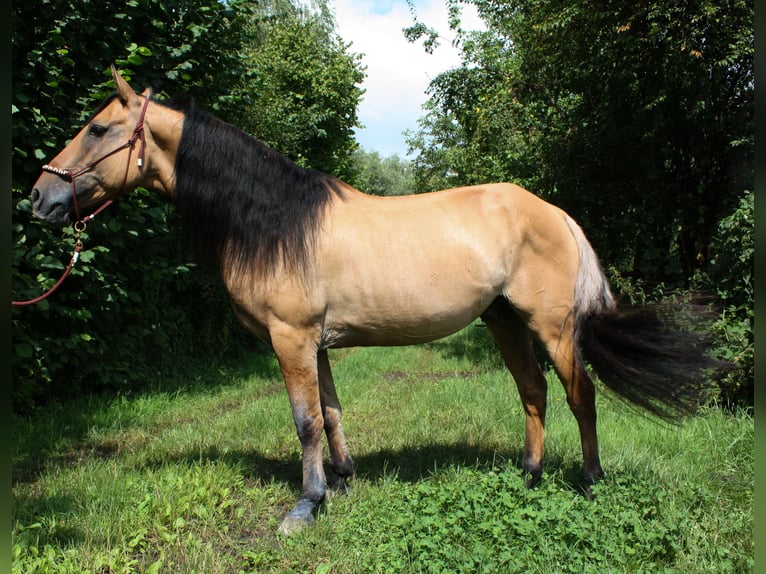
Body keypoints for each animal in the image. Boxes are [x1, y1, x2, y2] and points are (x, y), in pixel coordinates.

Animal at [25, 66, 720, 536]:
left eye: (97, 128)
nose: (38, 197)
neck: (274, 222)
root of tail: (555, 213)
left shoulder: (291, 338)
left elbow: (305, 421)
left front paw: (305, 506)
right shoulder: (316, 344)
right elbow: (331, 414)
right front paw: (342, 482)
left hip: (552, 325)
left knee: (580, 395)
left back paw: (590, 483)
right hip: (503, 321)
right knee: (533, 391)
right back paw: (528, 475)